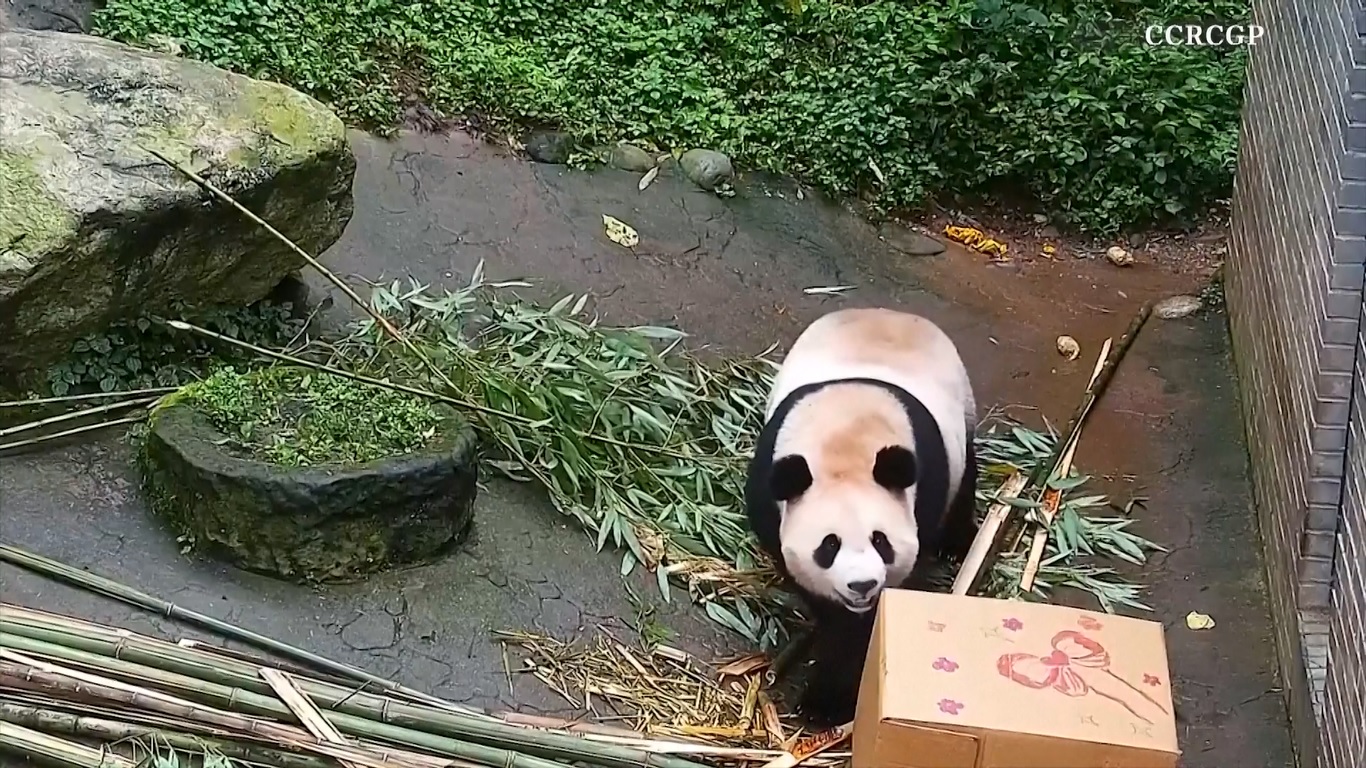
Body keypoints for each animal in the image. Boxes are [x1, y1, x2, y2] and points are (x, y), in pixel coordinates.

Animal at [744, 306, 979, 727]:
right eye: (829, 545)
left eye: (880, 541)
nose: (862, 585)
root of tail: (892, 313)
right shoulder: (769, 493)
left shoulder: (924, 491)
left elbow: (864, 627)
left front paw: (825, 701)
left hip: (962, 411)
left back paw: (957, 543)